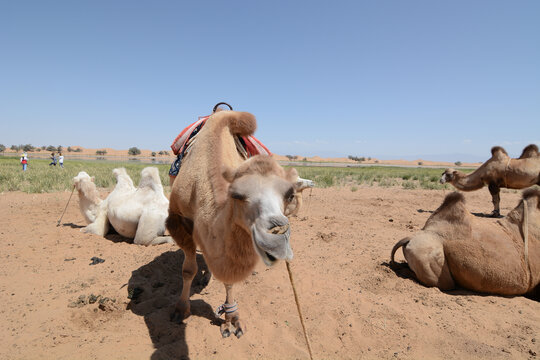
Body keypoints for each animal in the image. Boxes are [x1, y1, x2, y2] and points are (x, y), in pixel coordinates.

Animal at [166, 109, 300, 338]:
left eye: (290, 195)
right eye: (238, 195)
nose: (275, 237)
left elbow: (229, 279)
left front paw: (231, 320)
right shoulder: (177, 218)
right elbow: (188, 270)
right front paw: (181, 309)